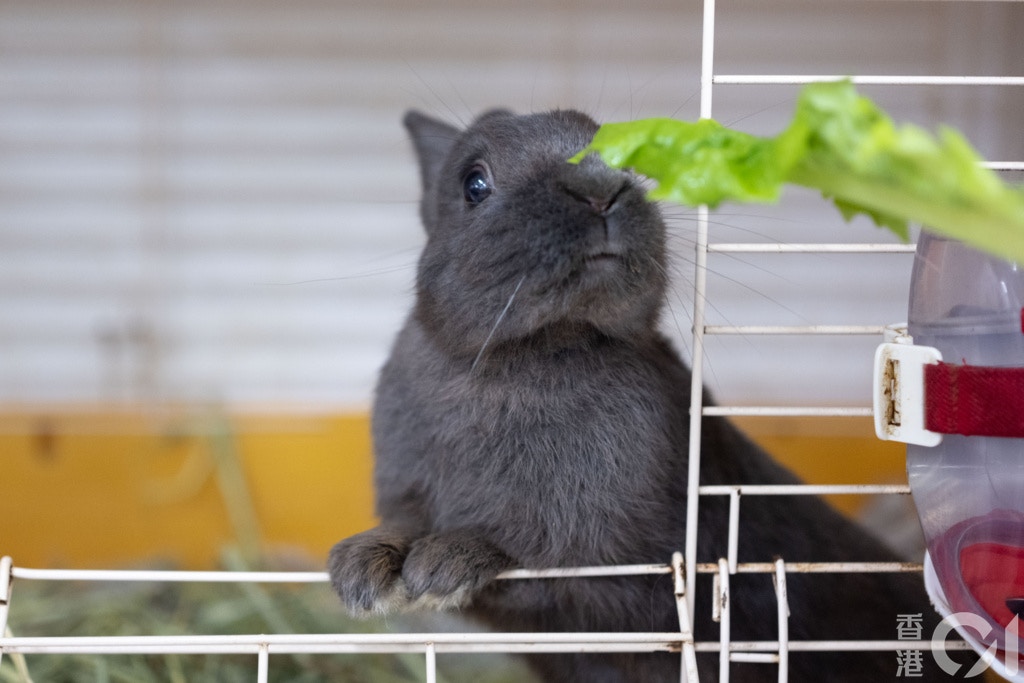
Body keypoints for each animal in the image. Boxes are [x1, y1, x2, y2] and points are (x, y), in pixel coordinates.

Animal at [329, 109, 974, 679]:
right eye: (474, 184)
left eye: (629, 157)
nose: (600, 190)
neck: (534, 352)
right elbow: (403, 524)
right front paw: (358, 567)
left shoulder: (621, 571)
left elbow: (533, 560)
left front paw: (445, 562)